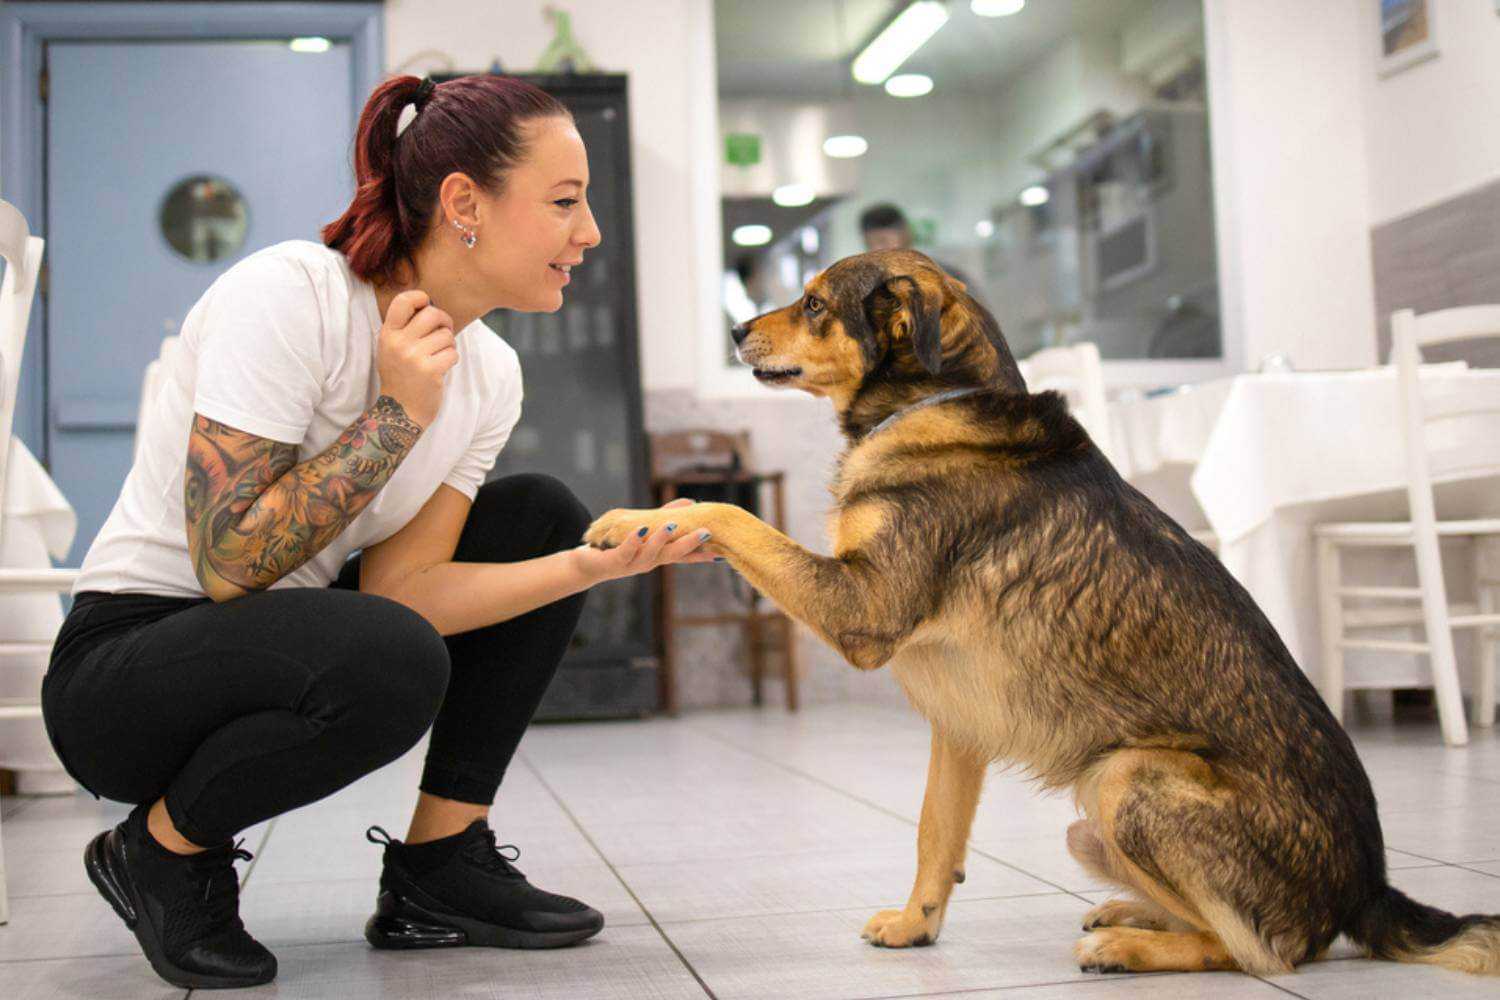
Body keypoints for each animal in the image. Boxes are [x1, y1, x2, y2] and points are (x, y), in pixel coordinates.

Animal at [579, 250, 1494, 977]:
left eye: (811, 302)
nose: (734, 330)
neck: (937, 398)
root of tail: (1367, 890)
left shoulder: (859, 609)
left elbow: (728, 513)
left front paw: (633, 520)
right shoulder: (958, 725)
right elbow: (934, 833)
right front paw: (916, 927)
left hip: (1124, 778)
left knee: (1261, 951)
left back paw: (1130, 945)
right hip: (1090, 826)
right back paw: (1131, 911)